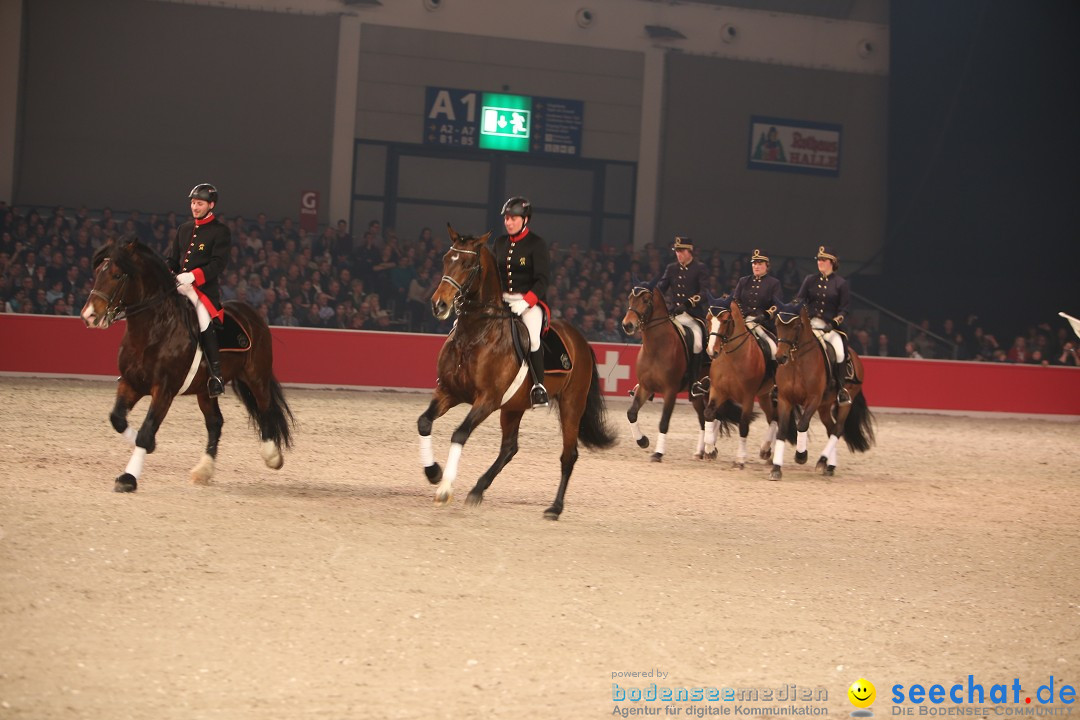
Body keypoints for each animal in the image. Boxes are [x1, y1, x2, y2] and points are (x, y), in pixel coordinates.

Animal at [78, 234, 295, 492]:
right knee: (215, 423)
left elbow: (146, 431)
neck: (153, 330)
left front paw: (128, 477)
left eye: (117, 275)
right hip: (205, 389)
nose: (89, 315)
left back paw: (272, 455)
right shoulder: (131, 383)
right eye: (98, 272)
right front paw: (148, 450)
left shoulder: (164, 390)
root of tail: (250, 313)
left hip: (256, 376)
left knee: (265, 407)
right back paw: (204, 470)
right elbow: (118, 420)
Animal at [414, 225, 617, 518]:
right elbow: (424, 422)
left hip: (571, 405)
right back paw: (478, 490)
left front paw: (444, 489)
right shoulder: (448, 392)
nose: (439, 305)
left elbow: (460, 433)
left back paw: (555, 508)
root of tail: (580, 340)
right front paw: (433, 473)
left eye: (467, 264)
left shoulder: (487, 400)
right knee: (510, 447)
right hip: (514, 406)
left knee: (568, 455)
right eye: (445, 259)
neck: (474, 335)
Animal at [617, 280, 717, 462]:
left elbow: (663, 422)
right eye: (629, 298)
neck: (656, 348)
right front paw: (643, 441)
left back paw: (710, 449)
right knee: (702, 418)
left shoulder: (670, 391)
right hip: (696, 396)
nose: (627, 325)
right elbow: (631, 413)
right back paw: (702, 451)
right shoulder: (645, 387)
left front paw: (658, 453)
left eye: (646, 300)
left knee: (711, 415)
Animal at [695, 302, 781, 468]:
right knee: (772, 417)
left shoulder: (748, 397)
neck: (732, 357)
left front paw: (740, 459)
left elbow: (743, 424)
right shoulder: (718, 391)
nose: (712, 351)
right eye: (708, 319)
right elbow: (709, 414)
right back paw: (767, 451)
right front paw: (709, 449)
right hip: (763, 395)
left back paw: (769, 453)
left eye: (726, 321)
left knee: (777, 418)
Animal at [768, 304, 876, 479]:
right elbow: (782, 430)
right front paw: (776, 468)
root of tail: (855, 356)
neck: (797, 362)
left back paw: (822, 461)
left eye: (796, 326)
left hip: (845, 401)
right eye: (777, 324)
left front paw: (801, 456)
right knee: (831, 428)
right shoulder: (785, 399)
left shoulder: (813, 399)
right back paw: (829, 465)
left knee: (838, 429)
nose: (780, 357)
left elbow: (802, 425)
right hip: (824, 406)